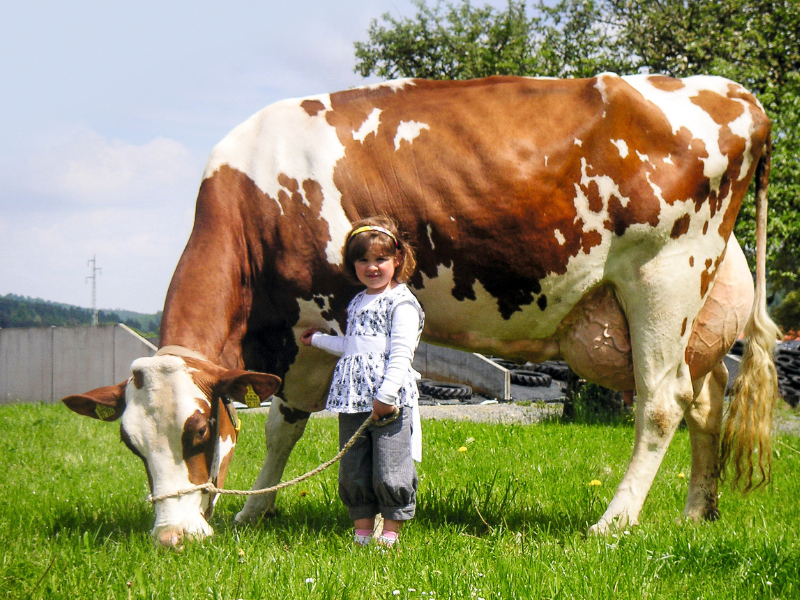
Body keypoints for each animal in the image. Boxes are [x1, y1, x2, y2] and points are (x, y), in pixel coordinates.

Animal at [64, 72, 780, 548]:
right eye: (130, 443)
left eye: (197, 431)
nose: (172, 538)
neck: (256, 196)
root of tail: (732, 92)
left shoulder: (315, 324)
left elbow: (284, 425)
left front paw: (249, 514)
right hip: (700, 303)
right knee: (707, 400)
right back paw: (696, 513)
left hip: (663, 275)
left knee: (662, 402)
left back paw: (614, 521)